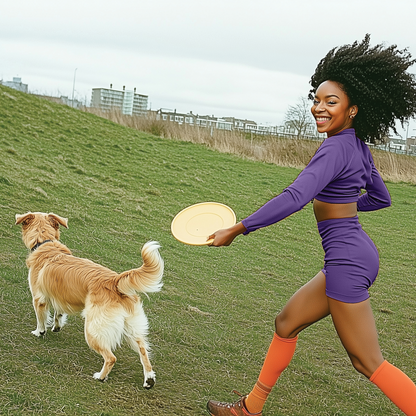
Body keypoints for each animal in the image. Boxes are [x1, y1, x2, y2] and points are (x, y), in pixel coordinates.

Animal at [15, 211, 164, 386]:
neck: (44, 242)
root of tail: (115, 281)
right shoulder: (59, 296)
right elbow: (59, 313)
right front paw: (57, 326)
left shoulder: (39, 298)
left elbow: (41, 319)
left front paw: (39, 332)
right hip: (131, 327)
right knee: (142, 349)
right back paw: (149, 379)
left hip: (93, 330)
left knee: (111, 357)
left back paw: (101, 376)